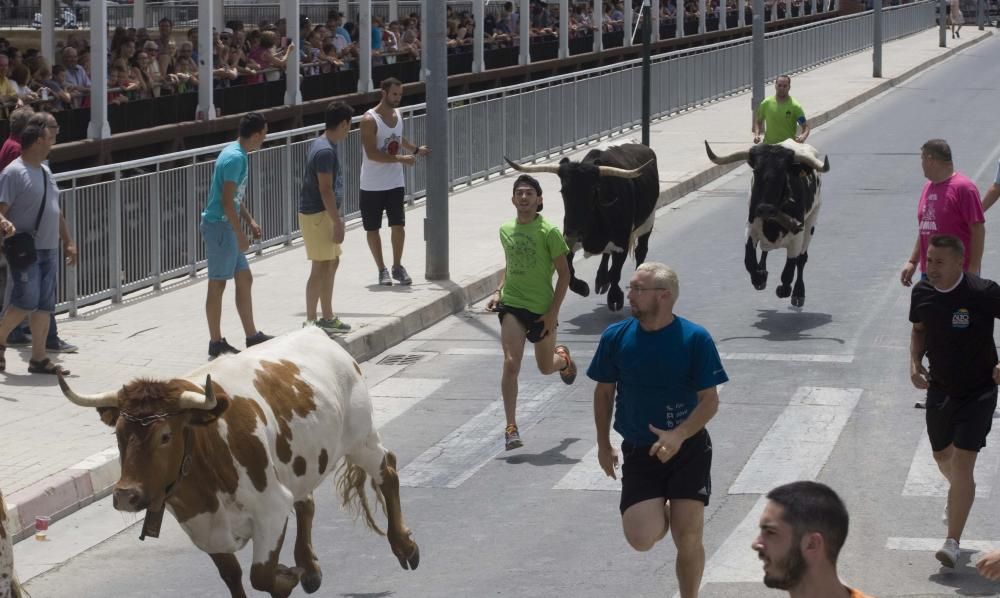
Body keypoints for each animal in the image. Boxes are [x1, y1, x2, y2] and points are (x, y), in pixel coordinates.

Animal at [56, 328, 416, 598]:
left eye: (165, 436)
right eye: (118, 434)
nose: (125, 495)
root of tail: (318, 333)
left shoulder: (271, 509)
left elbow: (262, 574)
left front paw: (287, 577)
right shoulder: (204, 529)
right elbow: (232, 576)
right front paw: (295, 572)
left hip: (361, 438)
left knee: (387, 471)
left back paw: (405, 547)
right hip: (298, 463)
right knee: (307, 501)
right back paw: (310, 568)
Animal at [504, 145, 660, 312]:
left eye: (592, 191)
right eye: (563, 191)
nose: (573, 230)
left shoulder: (622, 242)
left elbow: (616, 271)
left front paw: (615, 297)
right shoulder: (568, 241)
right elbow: (568, 269)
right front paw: (583, 287)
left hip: (648, 221)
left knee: (641, 251)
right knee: (607, 254)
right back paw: (601, 280)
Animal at [708, 139, 832, 310]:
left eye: (783, 173)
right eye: (756, 171)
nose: (764, 209)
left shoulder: (797, 235)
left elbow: (789, 270)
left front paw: (784, 289)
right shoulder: (751, 227)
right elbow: (749, 261)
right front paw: (759, 277)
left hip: (812, 221)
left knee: (802, 259)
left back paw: (798, 293)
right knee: (765, 250)